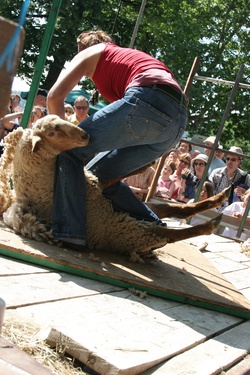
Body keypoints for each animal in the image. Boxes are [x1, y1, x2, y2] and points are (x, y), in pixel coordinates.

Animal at [0, 115, 229, 262]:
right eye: (52, 132)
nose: (85, 135)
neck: (43, 186)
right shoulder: (96, 187)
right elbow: (114, 177)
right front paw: (146, 163)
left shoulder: (98, 184)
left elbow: (115, 178)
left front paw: (146, 164)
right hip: (127, 230)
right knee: (168, 233)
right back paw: (210, 224)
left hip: (140, 212)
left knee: (175, 210)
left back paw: (218, 199)